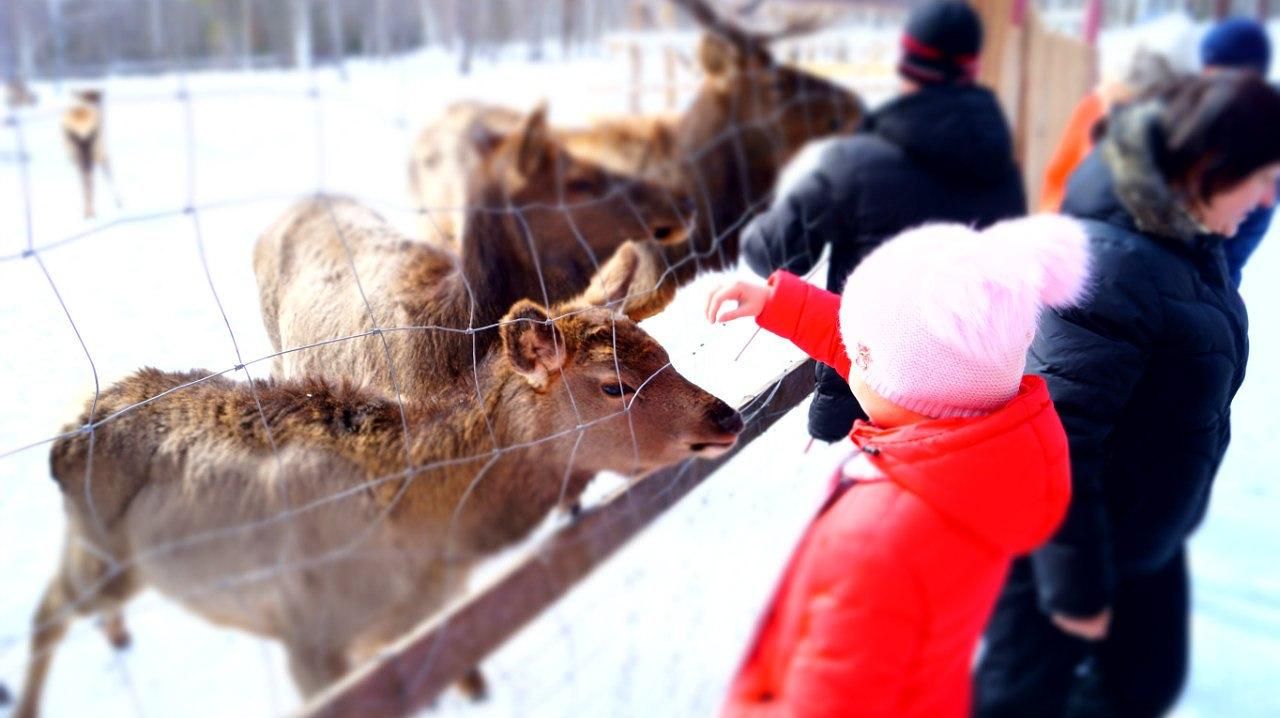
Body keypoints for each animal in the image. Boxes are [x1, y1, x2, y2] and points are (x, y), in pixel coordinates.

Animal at [15, 264, 747, 716]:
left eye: (663, 351)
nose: (727, 417)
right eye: (614, 384)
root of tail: (64, 438)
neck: (431, 531)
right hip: (102, 553)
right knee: (45, 611)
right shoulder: (310, 635)